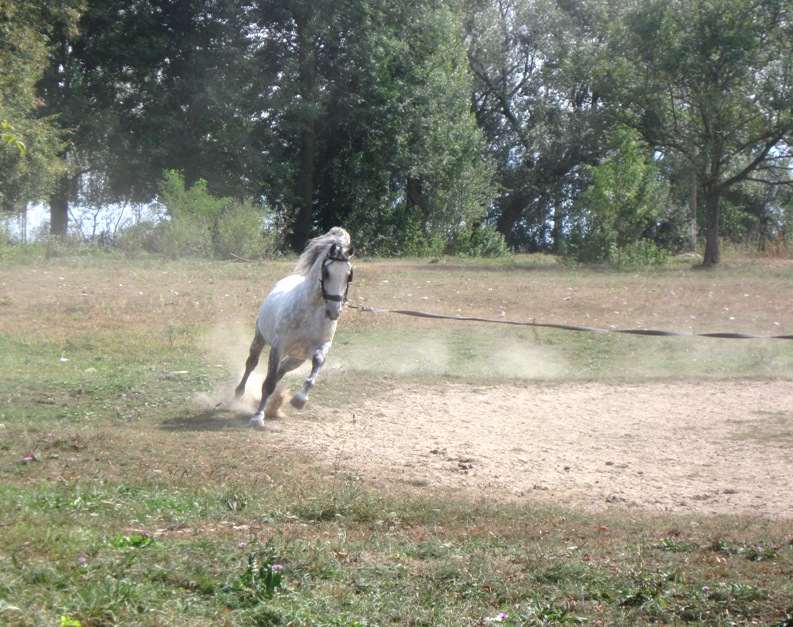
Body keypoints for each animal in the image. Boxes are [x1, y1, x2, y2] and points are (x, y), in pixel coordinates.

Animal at [234, 228, 354, 430]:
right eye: (327, 272)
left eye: (349, 275)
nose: (333, 312)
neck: (310, 311)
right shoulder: (278, 347)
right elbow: (268, 383)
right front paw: (257, 418)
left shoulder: (320, 346)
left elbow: (319, 361)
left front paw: (300, 399)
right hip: (260, 339)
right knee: (252, 363)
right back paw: (239, 393)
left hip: (297, 358)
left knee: (281, 370)